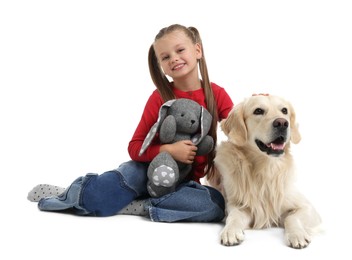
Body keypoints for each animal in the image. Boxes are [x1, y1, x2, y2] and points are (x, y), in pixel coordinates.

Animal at [206, 94, 322, 249]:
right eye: (258, 111)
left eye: (284, 110)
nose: (282, 123)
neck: (266, 169)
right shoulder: (237, 205)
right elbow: (234, 216)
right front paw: (230, 232)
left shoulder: (308, 208)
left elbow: (292, 218)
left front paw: (297, 235)